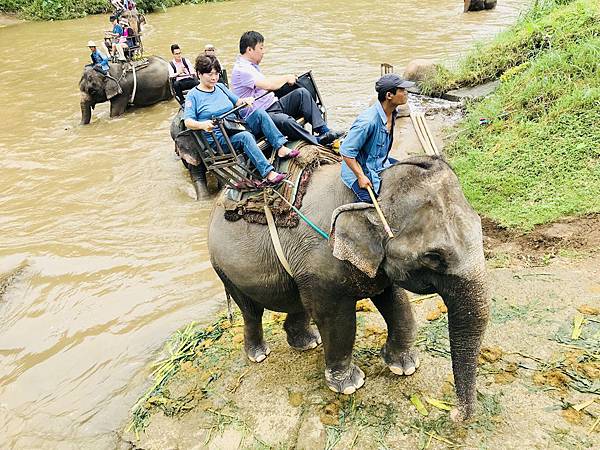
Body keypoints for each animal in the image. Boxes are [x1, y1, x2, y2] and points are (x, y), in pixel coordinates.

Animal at [209, 156, 490, 422]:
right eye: (433, 256)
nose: (454, 414)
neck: (368, 195)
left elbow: (397, 303)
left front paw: (404, 365)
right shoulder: (321, 265)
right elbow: (337, 321)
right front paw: (349, 385)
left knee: (298, 302)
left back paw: (307, 342)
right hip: (225, 270)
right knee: (252, 311)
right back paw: (259, 354)